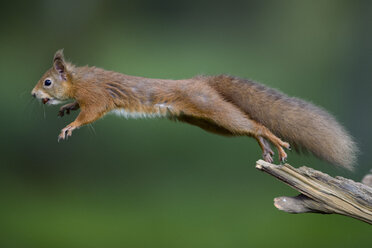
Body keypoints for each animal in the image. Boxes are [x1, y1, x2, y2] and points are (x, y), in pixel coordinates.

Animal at [31, 49, 358, 170]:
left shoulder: (97, 96)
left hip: (212, 110)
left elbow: (91, 114)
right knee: (247, 127)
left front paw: (69, 126)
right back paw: (264, 146)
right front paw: (67, 108)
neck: (79, 80)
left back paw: (275, 142)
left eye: (47, 81)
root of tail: (201, 82)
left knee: (255, 124)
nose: (34, 94)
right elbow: (80, 107)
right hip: (210, 124)